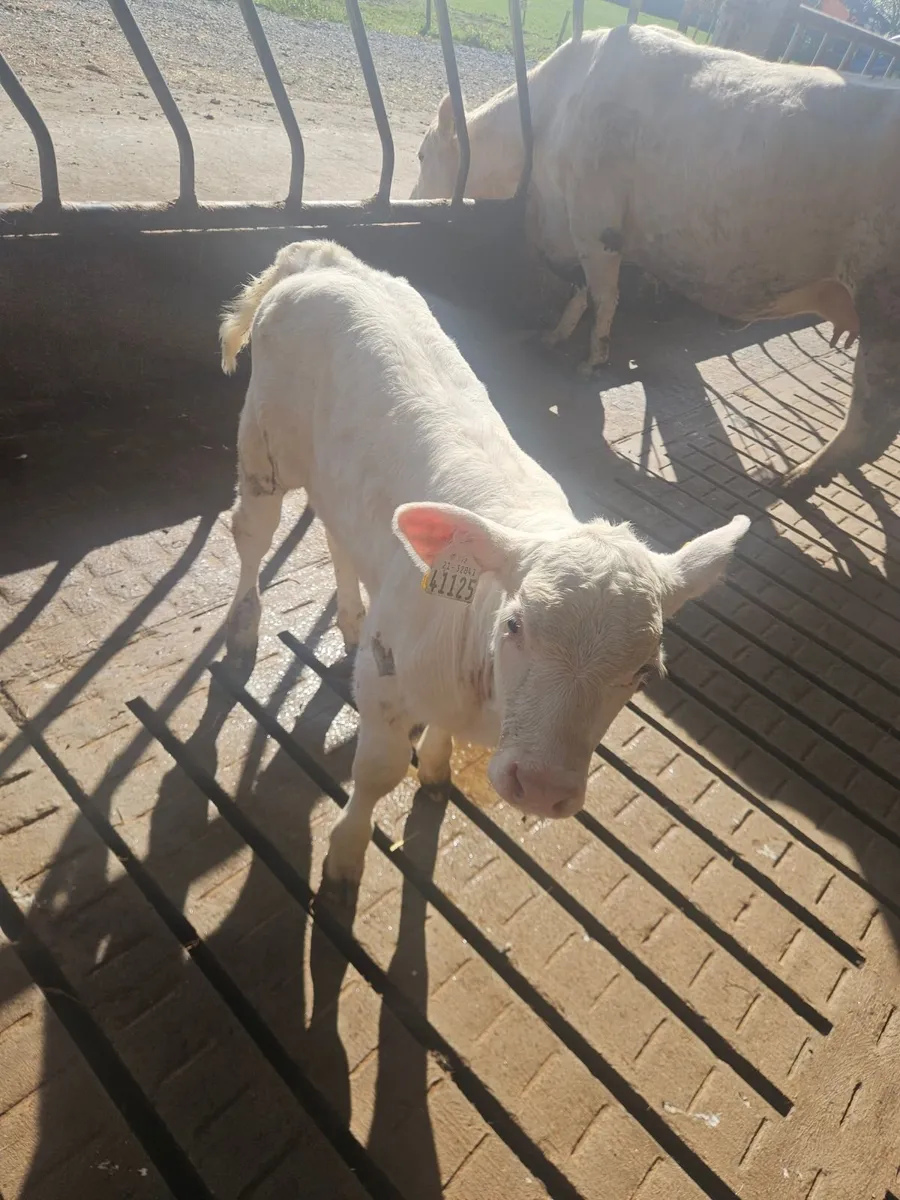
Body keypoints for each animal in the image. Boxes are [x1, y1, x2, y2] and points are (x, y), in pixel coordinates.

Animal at [219, 240, 750, 892]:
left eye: (645, 672)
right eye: (515, 626)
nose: (542, 788)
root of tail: (322, 259)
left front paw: (437, 769)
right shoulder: (387, 683)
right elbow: (376, 772)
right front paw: (344, 859)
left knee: (335, 532)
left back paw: (350, 618)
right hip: (265, 440)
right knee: (252, 534)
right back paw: (244, 631)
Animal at [412, 24, 900, 491]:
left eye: (419, 153)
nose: (413, 197)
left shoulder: (596, 221)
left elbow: (603, 296)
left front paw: (592, 362)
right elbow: (580, 291)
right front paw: (554, 335)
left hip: (883, 307)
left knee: (871, 415)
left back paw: (800, 478)